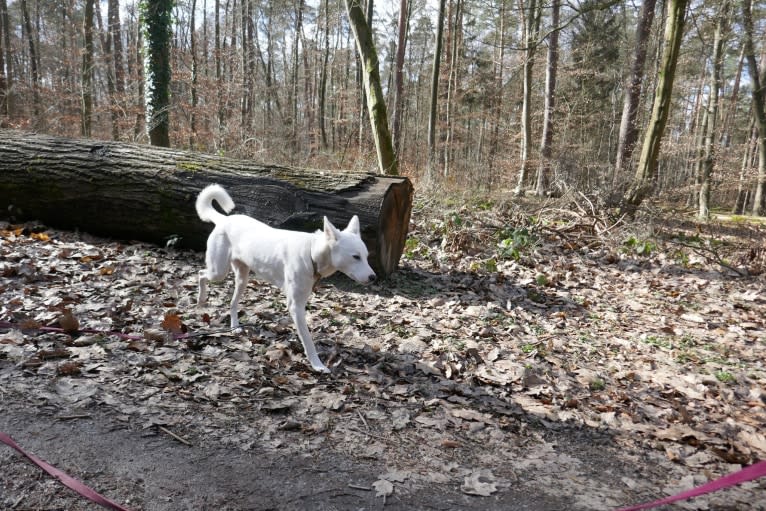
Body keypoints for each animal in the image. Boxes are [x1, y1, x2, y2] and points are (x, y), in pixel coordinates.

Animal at [195, 184, 378, 372]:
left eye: (366, 256)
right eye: (355, 257)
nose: (374, 277)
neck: (311, 253)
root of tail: (224, 220)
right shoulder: (296, 305)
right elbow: (308, 340)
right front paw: (317, 365)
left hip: (242, 278)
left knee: (232, 303)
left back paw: (235, 327)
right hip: (218, 271)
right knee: (201, 274)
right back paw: (201, 300)